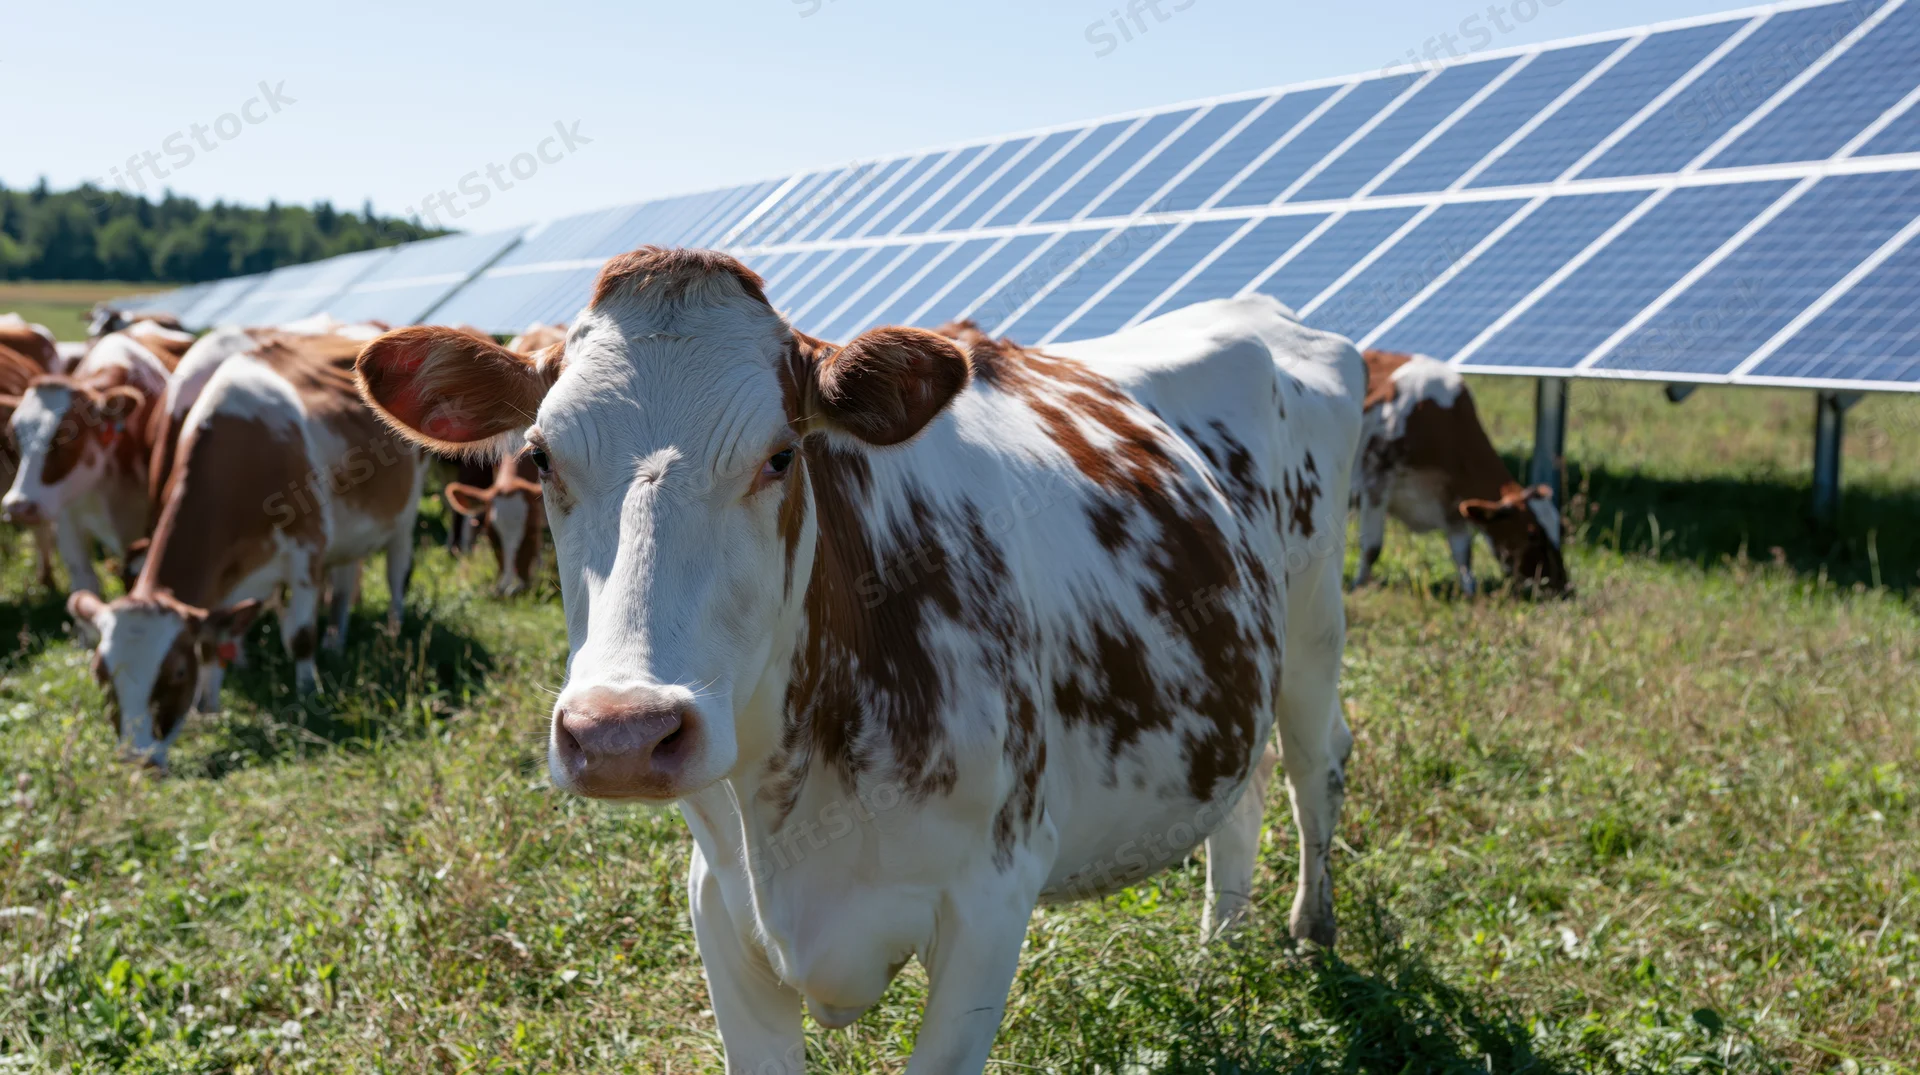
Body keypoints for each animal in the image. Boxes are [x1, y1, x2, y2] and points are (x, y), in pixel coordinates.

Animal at [66, 331, 427, 768]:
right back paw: (337, 639)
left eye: (177, 674)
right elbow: (214, 641)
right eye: (101, 674)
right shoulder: (230, 577)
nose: (138, 758)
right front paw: (209, 705)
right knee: (344, 584)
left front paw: (308, 693)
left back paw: (394, 630)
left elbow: (300, 636)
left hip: (405, 516)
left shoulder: (306, 554)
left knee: (396, 574)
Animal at [357, 247, 1363, 1073]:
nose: (622, 734)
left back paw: (1311, 933)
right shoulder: (719, 906)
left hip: (1315, 619)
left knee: (1314, 766)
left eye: (779, 455)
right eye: (540, 458)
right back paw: (1215, 950)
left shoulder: (992, 901)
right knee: (1244, 791)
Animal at [1351, 350, 1567, 596]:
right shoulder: (1376, 479)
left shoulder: (1452, 501)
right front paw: (1358, 585)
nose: (1563, 586)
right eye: (1532, 534)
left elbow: (1463, 552)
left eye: (1561, 529)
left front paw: (1470, 592)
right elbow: (1372, 547)